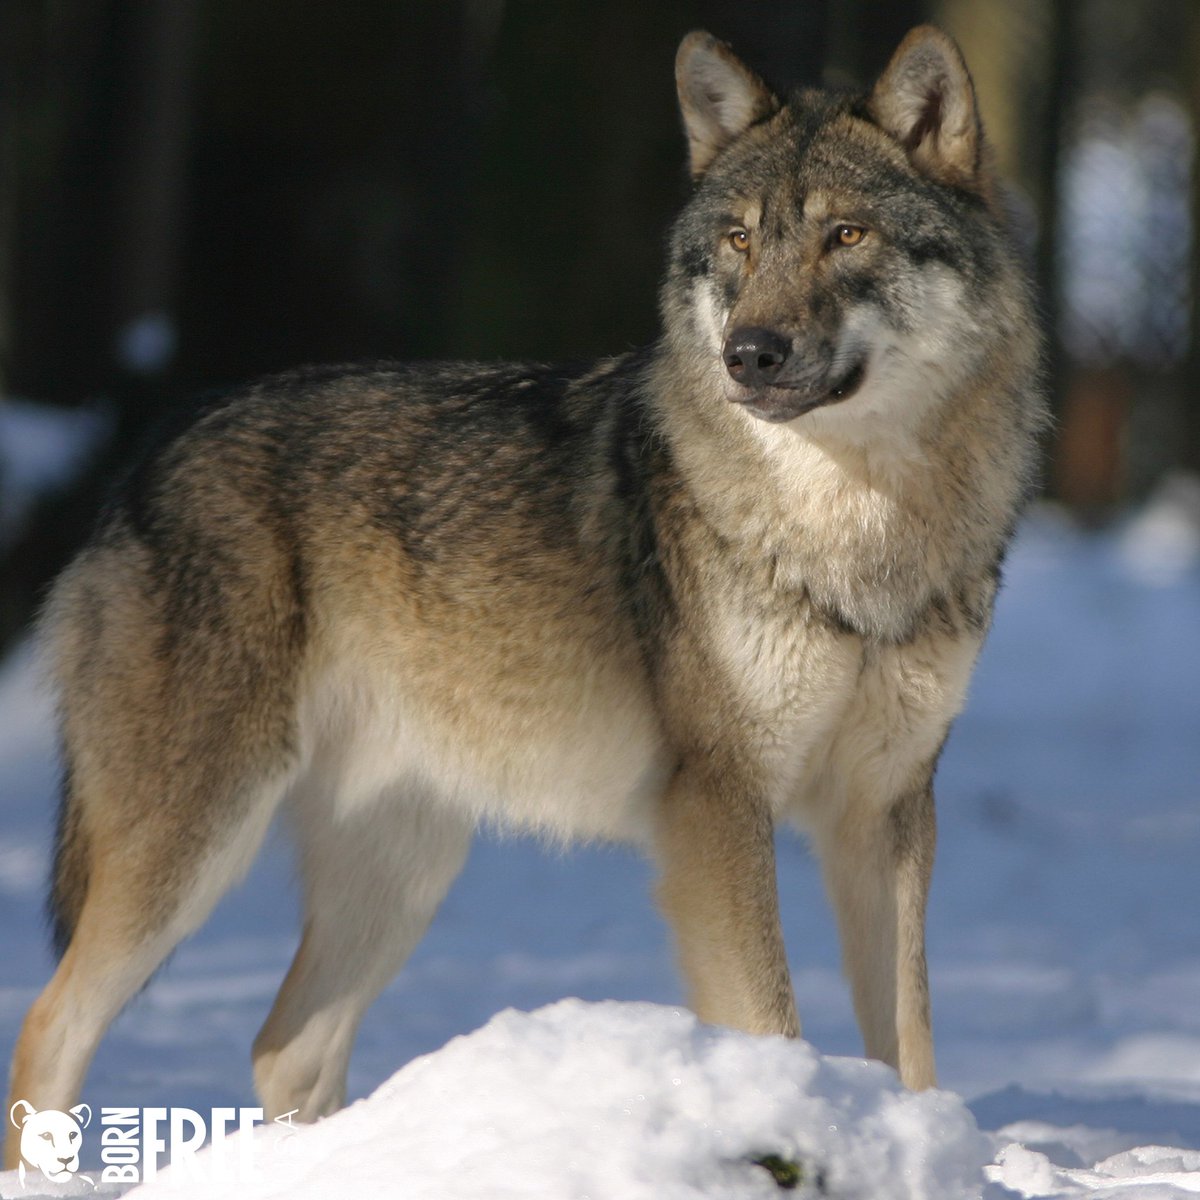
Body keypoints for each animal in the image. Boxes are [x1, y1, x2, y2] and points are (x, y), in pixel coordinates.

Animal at [6, 25, 1044, 1164]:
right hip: (193, 847)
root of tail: (149, 453)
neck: (854, 531)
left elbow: (910, 1045)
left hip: (403, 870)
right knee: (49, 1024)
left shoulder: (887, 811)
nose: (749, 355)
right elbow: (773, 1020)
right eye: (737, 242)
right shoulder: (718, 805)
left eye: (846, 234)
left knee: (283, 1045)